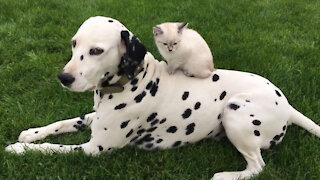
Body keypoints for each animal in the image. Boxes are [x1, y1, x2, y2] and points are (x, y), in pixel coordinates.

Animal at [5, 16, 320, 179]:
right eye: (74, 44)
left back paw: (226, 176)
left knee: (257, 167)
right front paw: (31, 133)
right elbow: (63, 123)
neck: (133, 80)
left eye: (96, 50)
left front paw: (20, 149)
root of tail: (288, 106)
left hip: (236, 112)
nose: (64, 77)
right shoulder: (93, 118)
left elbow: (53, 148)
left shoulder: (94, 149)